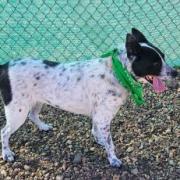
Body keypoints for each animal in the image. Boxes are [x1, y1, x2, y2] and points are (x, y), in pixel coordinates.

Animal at [0, 28, 177, 167]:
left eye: (163, 56)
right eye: (155, 63)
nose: (176, 73)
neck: (116, 71)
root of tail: (5, 66)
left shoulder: (98, 116)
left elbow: (97, 131)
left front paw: (99, 140)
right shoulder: (104, 118)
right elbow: (110, 143)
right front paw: (113, 159)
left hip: (36, 102)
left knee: (33, 115)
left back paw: (43, 126)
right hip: (17, 111)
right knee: (4, 132)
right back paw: (7, 153)